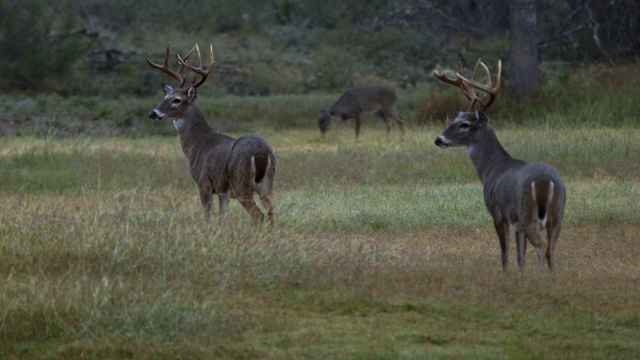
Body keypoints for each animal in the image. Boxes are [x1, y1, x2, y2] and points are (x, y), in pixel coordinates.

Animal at [146, 44, 276, 228]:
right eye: (165, 96)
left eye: (176, 100)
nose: (153, 113)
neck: (196, 144)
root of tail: (261, 152)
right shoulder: (222, 191)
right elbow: (222, 219)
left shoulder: (204, 183)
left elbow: (209, 218)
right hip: (267, 183)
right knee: (272, 212)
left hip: (241, 183)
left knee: (259, 216)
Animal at [436, 59, 564, 272]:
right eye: (454, 119)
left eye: (464, 124)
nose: (438, 139)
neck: (491, 169)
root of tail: (545, 182)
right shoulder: (517, 224)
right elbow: (521, 257)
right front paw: (521, 275)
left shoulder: (498, 213)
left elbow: (505, 255)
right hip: (558, 213)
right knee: (551, 251)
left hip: (527, 211)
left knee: (541, 247)